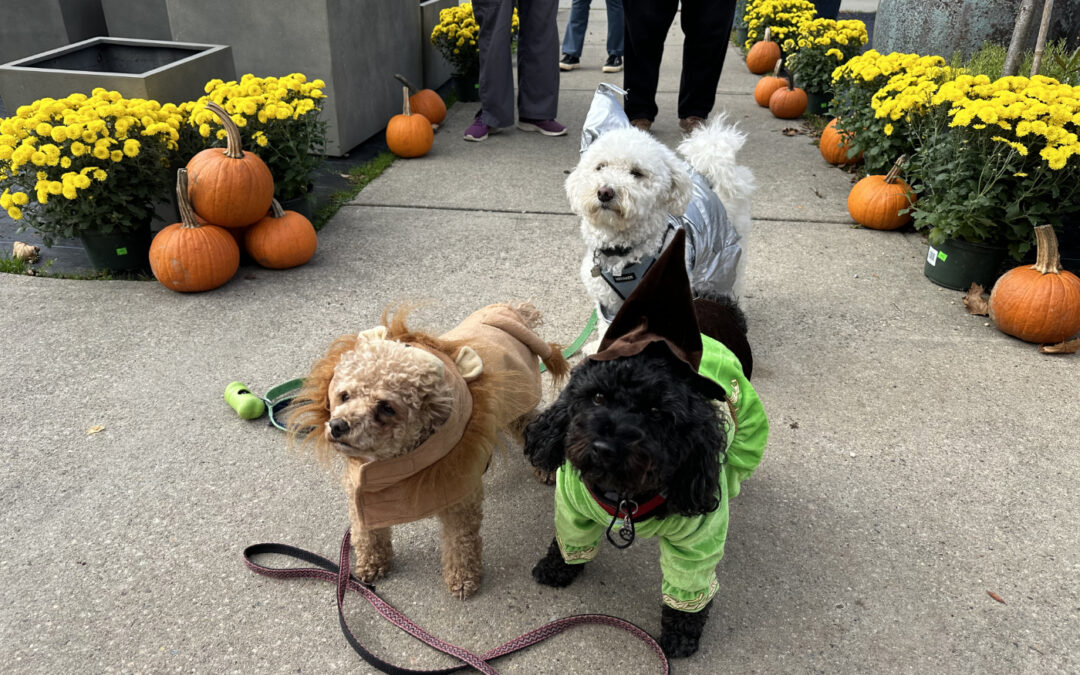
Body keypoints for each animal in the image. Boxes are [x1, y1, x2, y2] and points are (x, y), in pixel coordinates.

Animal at [522, 295, 751, 656]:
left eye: (656, 412)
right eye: (597, 397)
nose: (604, 448)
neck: (626, 497)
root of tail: (713, 300)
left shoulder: (698, 539)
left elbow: (689, 584)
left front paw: (682, 632)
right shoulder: (572, 506)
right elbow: (568, 539)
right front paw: (557, 568)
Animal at [570, 112, 756, 339]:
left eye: (636, 173)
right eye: (600, 166)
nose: (604, 192)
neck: (624, 253)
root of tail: (707, 176)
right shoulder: (608, 306)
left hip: (724, 256)